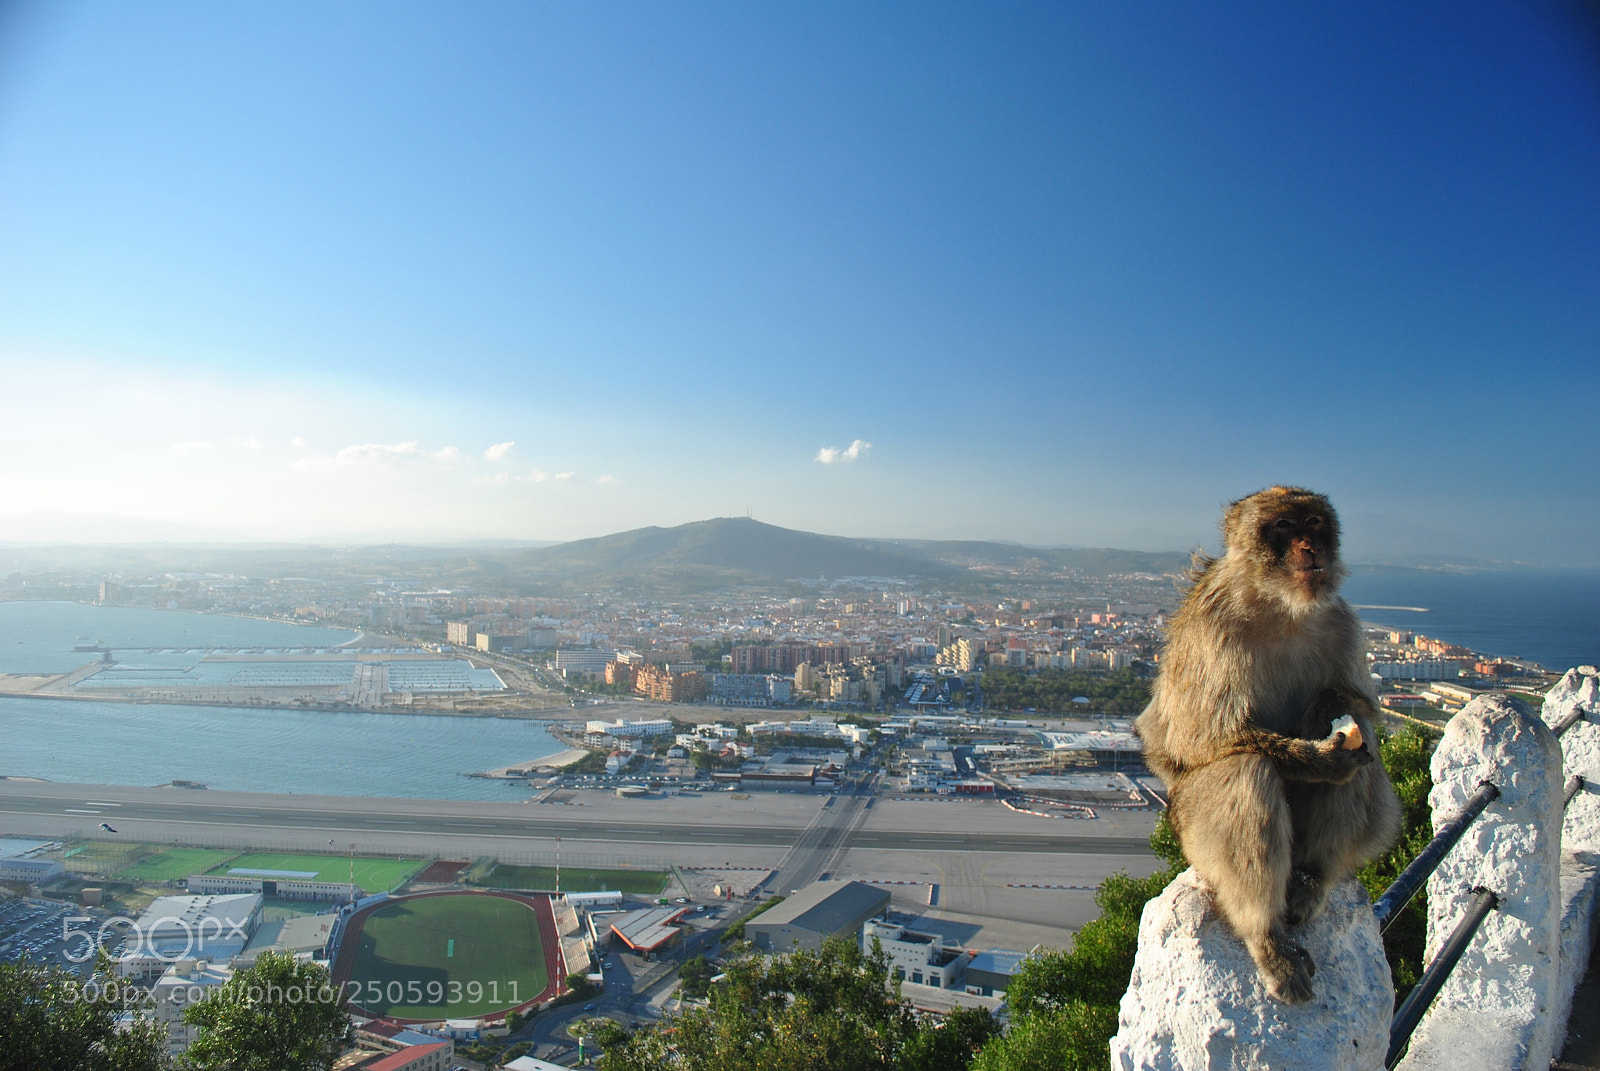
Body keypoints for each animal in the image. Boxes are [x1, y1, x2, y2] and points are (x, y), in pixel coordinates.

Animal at [1134, 486, 1401, 1004]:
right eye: (1282, 526)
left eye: (1314, 523)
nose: (1309, 547)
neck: (1281, 607)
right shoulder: (1213, 627)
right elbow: (1195, 739)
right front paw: (1319, 759)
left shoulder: (1344, 621)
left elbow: (1363, 706)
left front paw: (1326, 713)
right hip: (1190, 827)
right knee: (1246, 770)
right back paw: (1267, 940)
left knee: (1365, 754)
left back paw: (1313, 880)